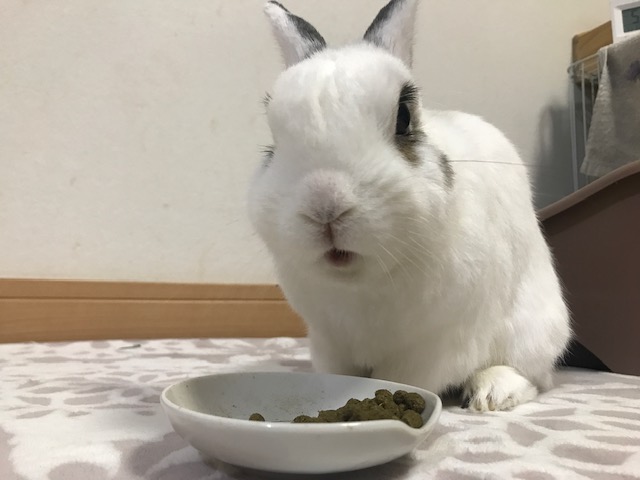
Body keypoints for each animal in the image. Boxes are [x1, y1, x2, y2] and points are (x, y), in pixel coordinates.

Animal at [248, 0, 571, 412]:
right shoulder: (329, 343)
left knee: (534, 376)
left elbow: (403, 379)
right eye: (273, 140)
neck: (360, 284)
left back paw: (493, 394)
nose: (325, 206)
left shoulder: (435, 345)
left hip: (536, 328)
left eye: (403, 117)